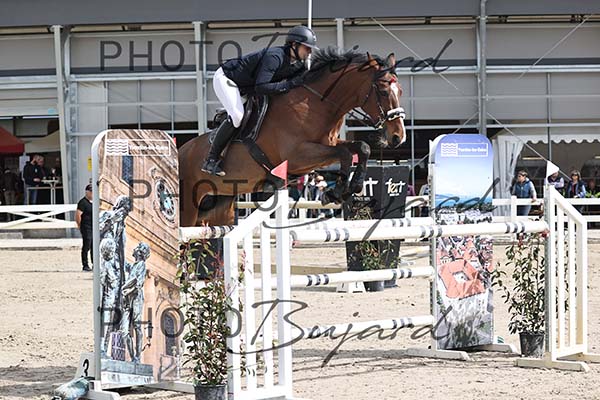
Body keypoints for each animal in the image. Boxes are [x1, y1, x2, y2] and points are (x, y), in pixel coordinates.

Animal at [179, 48, 406, 227]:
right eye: (383, 91)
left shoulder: (327, 145)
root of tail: (180, 151)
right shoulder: (299, 156)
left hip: (221, 205)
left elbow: (361, 147)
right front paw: (337, 192)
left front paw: (352, 187)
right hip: (188, 206)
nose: (398, 137)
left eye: (401, 91)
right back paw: (211, 164)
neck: (316, 104)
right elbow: (345, 153)